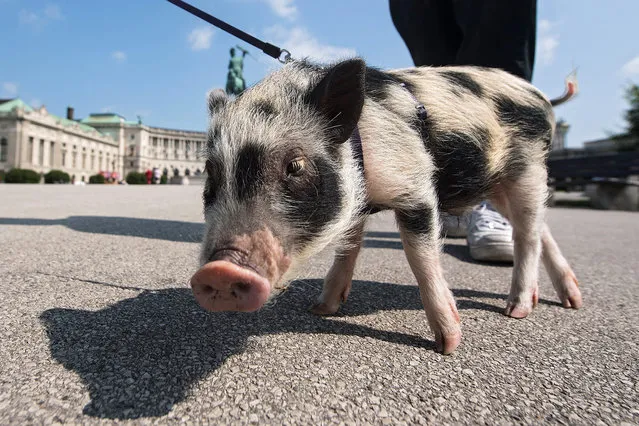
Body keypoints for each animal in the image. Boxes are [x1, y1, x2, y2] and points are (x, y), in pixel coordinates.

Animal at [189, 58, 580, 354]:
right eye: (211, 173)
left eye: (295, 165)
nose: (219, 270)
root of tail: (540, 96)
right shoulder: (358, 204)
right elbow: (348, 250)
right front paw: (321, 309)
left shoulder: (416, 187)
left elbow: (420, 258)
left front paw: (448, 345)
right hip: (497, 184)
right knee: (541, 228)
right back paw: (570, 301)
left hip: (528, 168)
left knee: (527, 235)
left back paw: (517, 311)